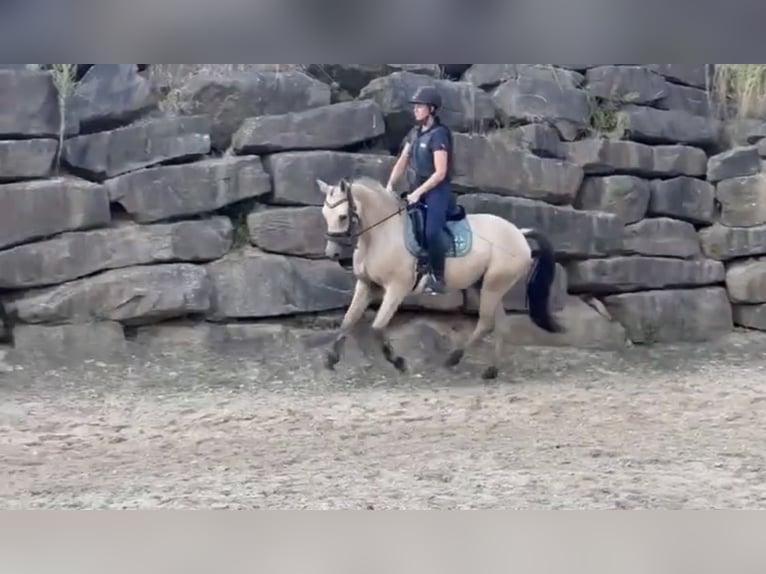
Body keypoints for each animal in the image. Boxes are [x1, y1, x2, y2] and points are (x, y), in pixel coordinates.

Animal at [318, 178, 564, 380]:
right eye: (324, 215)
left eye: (342, 216)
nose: (332, 253)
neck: (381, 234)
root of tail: (519, 233)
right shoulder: (366, 285)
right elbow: (348, 320)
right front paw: (331, 359)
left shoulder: (397, 288)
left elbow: (378, 327)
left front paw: (399, 362)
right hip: (483, 285)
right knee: (499, 325)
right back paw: (491, 370)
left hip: (493, 286)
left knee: (485, 323)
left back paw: (453, 359)